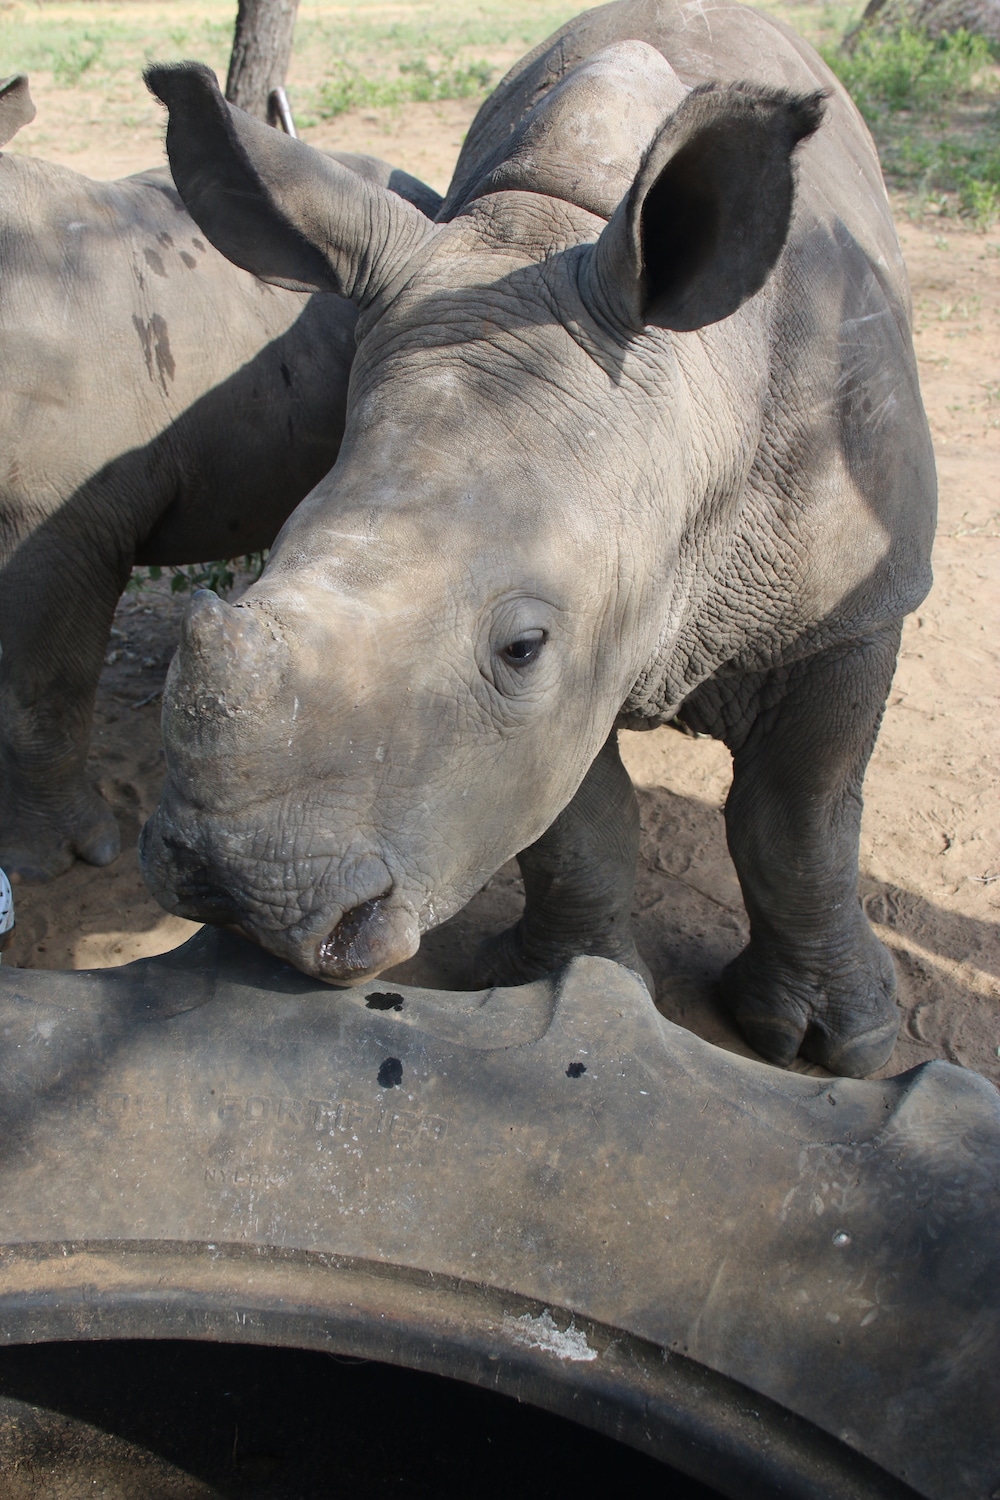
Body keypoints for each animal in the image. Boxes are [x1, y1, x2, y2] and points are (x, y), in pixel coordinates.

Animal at [140, 0, 941, 1080]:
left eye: (522, 646)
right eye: (272, 556)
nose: (236, 891)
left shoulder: (852, 608)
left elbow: (801, 820)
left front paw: (831, 1043)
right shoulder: (571, 661)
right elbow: (575, 819)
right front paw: (565, 991)